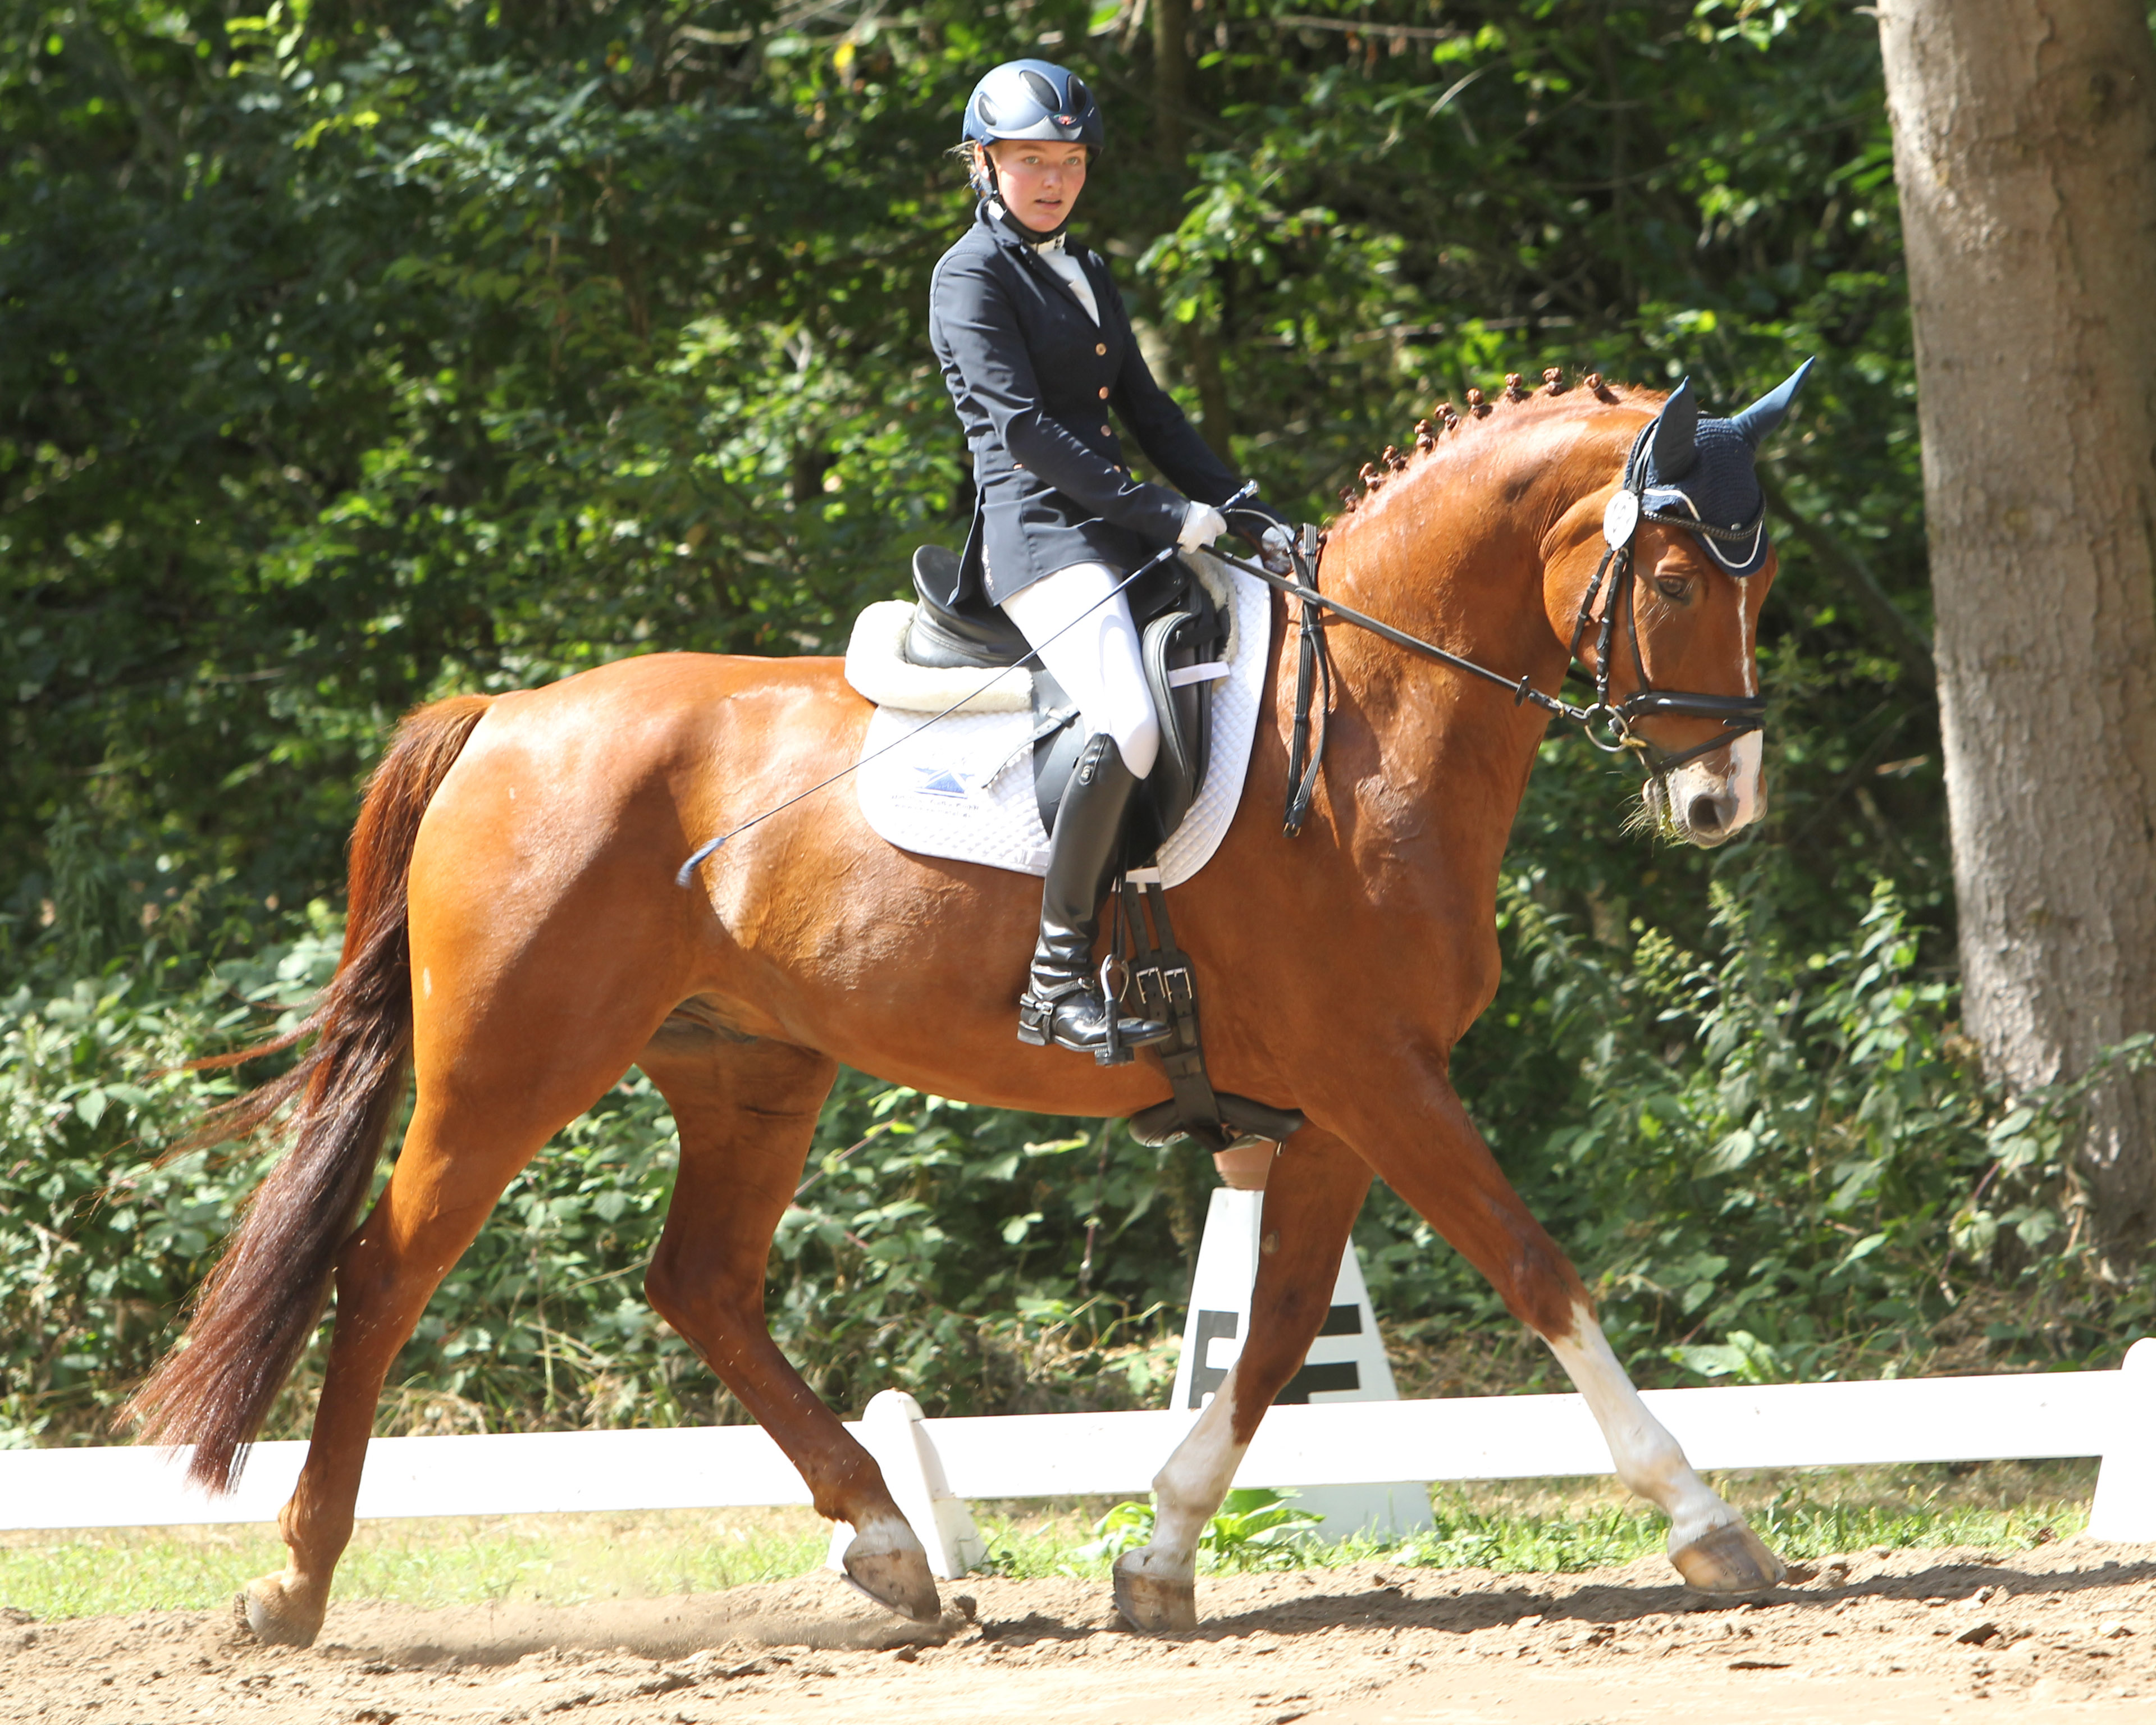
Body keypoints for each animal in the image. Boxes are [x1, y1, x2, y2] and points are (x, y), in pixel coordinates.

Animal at [126, 373, 1793, 1647]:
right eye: (1671, 579)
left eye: (1758, 583)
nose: (1721, 802)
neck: (1372, 723)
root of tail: (504, 720)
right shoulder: (1374, 1073)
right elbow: (1534, 1266)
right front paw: (1707, 1522)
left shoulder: (1335, 1104)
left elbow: (1274, 1340)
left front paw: (1157, 1556)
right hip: (508, 1067)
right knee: (383, 1275)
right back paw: (293, 1583)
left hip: (748, 1070)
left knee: (699, 1282)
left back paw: (887, 1546)